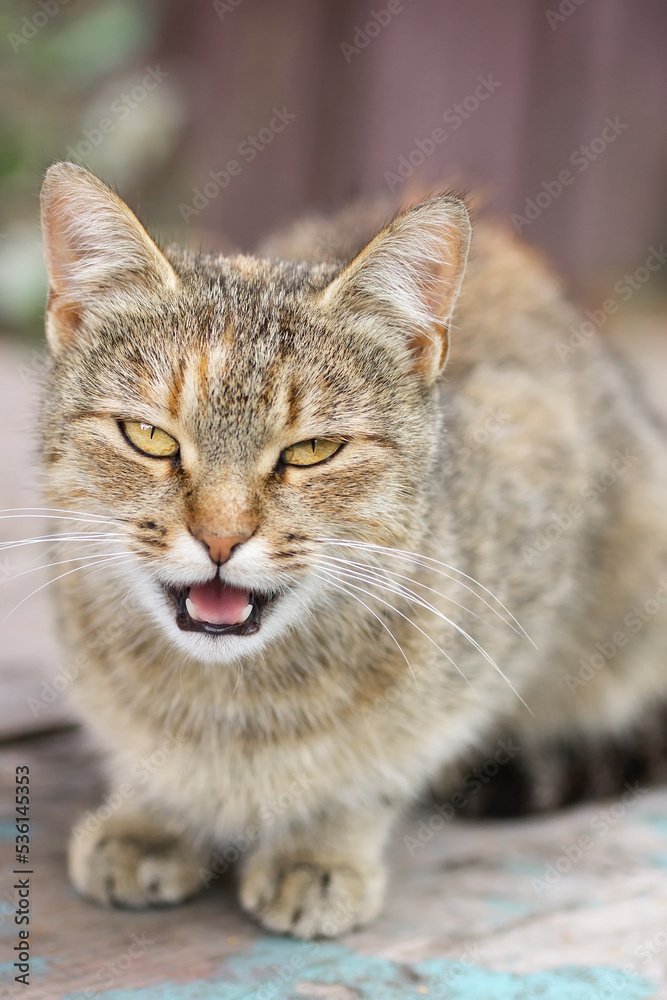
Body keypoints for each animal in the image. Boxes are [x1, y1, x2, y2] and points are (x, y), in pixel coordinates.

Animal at [39, 158, 667, 936]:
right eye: (149, 437)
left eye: (312, 451)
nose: (220, 537)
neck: (230, 703)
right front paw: (149, 819)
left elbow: (379, 768)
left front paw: (320, 849)